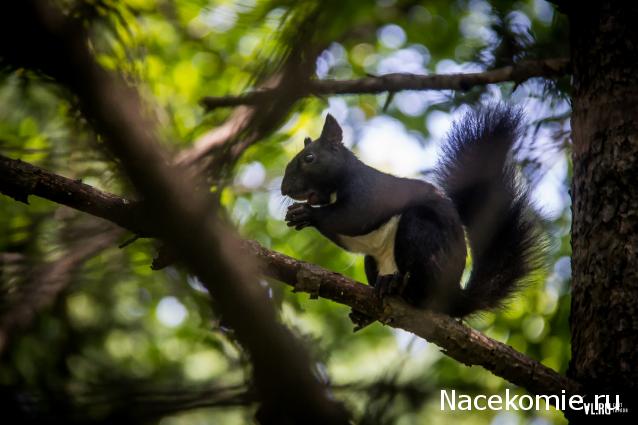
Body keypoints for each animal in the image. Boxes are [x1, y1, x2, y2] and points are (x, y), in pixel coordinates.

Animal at [282, 104, 544, 322]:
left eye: (309, 158)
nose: (284, 189)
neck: (334, 189)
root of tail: (453, 297)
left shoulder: (370, 193)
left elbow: (353, 217)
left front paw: (308, 214)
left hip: (420, 235)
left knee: (421, 290)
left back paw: (398, 287)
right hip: (373, 261)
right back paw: (369, 310)